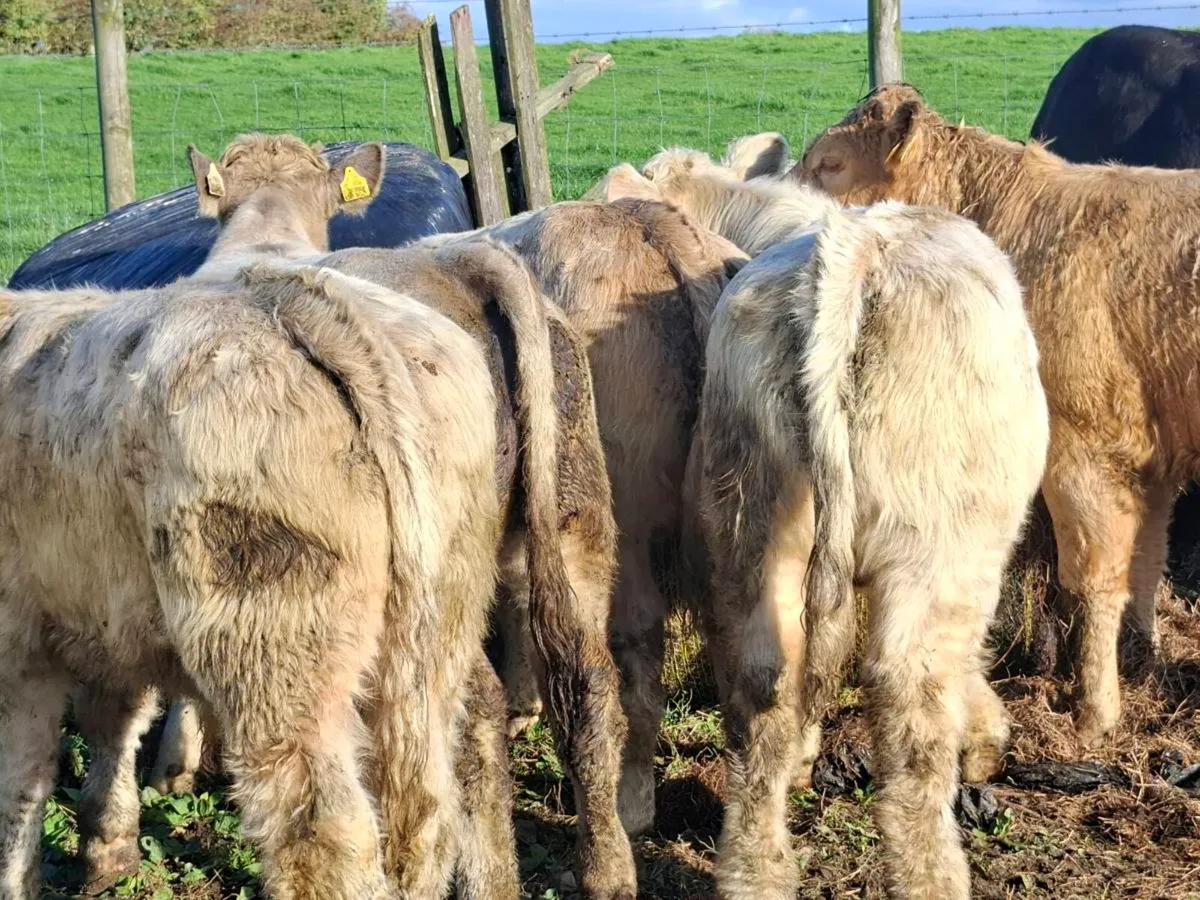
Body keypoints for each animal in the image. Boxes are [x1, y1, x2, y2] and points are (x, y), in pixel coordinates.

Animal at [689, 200, 1047, 899]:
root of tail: (858, 243)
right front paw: (985, 740)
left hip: (752, 525)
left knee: (765, 685)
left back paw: (756, 873)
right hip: (934, 551)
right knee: (911, 709)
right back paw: (934, 879)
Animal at [796, 83, 1200, 748]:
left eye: (831, 164)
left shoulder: (1085, 448)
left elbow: (1094, 578)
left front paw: (1094, 714)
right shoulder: (1152, 456)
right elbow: (1144, 564)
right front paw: (1138, 672)